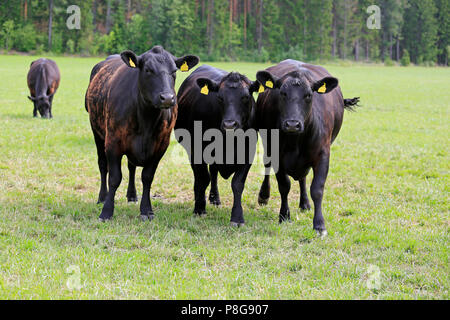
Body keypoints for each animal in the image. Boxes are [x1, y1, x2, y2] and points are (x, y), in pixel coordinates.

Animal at [85, 45, 198, 221]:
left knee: (131, 167)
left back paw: (132, 195)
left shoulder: (160, 146)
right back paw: (102, 197)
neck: (146, 119)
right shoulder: (113, 143)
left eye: (174, 71)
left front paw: (146, 210)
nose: (167, 98)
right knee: (103, 165)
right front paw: (106, 211)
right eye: (148, 70)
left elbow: (147, 177)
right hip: (97, 132)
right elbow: (114, 178)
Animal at [176, 64, 260, 225]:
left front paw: (237, 217)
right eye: (220, 97)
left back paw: (215, 198)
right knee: (201, 176)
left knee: (213, 171)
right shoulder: (198, 149)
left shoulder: (248, 152)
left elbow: (237, 184)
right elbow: (203, 178)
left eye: (246, 97)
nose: (229, 124)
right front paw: (199, 208)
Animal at [255, 59, 360, 235]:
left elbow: (317, 189)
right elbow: (284, 186)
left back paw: (304, 203)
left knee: (303, 178)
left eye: (309, 95)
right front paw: (284, 215)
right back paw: (264, 195)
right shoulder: (276, 154)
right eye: (282, 93)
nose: (292, 124)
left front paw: (319, 224)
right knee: (267, 166)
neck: (295, 141)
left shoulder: (322, 155)